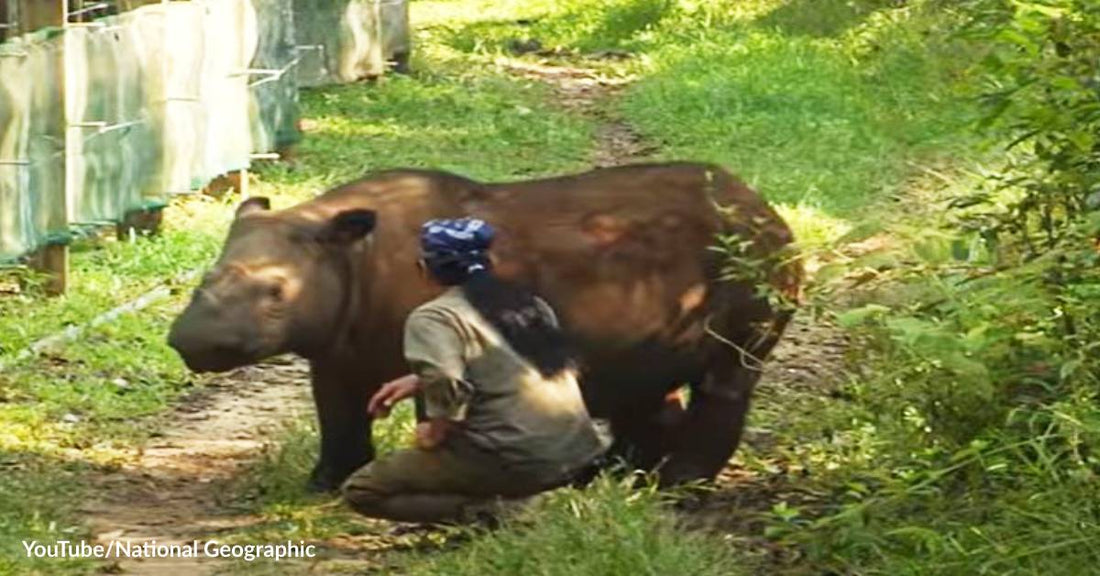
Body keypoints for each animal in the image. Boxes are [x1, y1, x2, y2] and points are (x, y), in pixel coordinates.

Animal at [167, 162, 801, 491]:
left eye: (276, 292)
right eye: (203, 277)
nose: (188, 341)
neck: (350, 261)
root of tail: (771, 212)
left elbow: (430, 420)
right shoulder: (335, 353)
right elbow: (339, 422)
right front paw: (323, 484)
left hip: (757, 283)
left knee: (725, 382)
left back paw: (678, 483)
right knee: (648, 386)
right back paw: (614, 474)